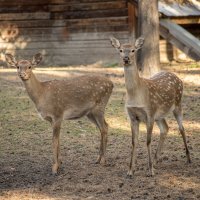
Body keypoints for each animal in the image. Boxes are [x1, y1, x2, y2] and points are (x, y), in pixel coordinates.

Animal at [110, 36, 191, 177]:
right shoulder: (132, 117)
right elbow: (134, 142)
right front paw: (130, 171)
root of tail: (178, 78)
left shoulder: (149, 113)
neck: (136, 95)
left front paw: (150, 171)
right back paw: (156, 160)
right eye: (120, 50)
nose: (126, 58)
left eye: (133, 50)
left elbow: (148, 141)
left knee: (182, 128)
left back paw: (188, 159)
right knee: (165, 128)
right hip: (159, 115)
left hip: (177, 105)